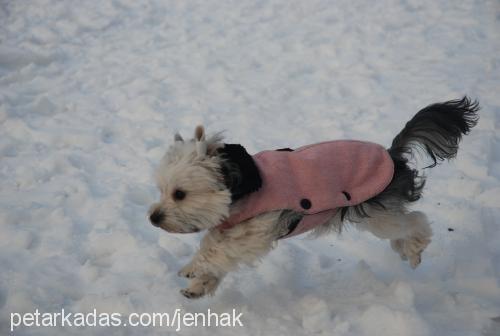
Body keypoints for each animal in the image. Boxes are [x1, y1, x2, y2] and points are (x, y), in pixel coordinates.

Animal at [149, 96, 480, 298]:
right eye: (161, 190)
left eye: (179, 194)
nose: (153, 218)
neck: (241, 184)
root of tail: (391, 154)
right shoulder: (235, 228)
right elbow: (220, 249)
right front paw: (200, 285)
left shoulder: (257, 229)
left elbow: (217, 247)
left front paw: (193, 268)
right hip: (381, 214)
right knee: (404, 225)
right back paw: (405, 249)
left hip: (376, 214)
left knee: (416, 221)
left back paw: (413, 250)